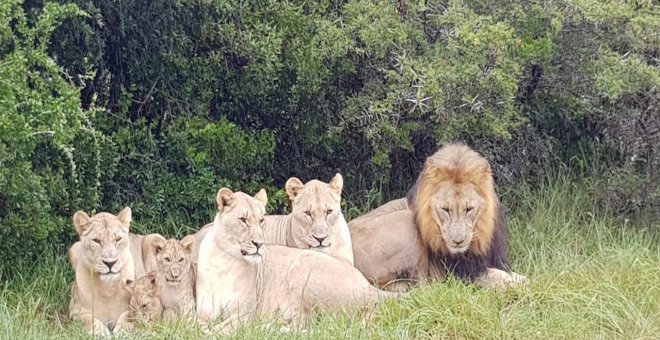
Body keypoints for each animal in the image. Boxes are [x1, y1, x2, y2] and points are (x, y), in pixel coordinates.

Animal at [67, 206, 137, 336]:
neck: (107, 290)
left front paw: (123, 330)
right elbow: (88, 320)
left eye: (118, 239)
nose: (110, 263)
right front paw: (100, 332)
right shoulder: (75, 311)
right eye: (96, 241)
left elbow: (129, 315)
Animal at [195, 187, 402, 334]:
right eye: (243, 220)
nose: (259, 244)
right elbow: (195, 325)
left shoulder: (246, 313)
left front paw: (213, 332)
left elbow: (221, 329)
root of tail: (367, 285)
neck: (224, 261)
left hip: (302, 266)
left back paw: (268, 328)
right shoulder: (202, 312)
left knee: (311, 325)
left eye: (261, 220)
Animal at [350, 143, 524, 290]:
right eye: (445, 209)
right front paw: (518, 284)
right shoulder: (461, 273)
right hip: (406, 220)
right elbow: (497, 276)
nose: (458, 241)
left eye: (469, 209)